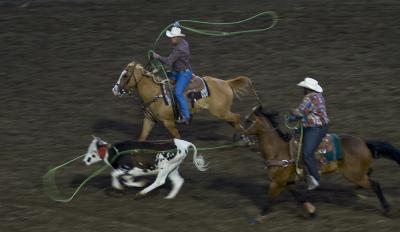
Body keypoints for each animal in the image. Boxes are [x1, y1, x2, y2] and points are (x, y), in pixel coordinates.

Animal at [112, 60, 253, 140]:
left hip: (221, 112)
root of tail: (226, 83)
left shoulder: (168, 122)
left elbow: (178, 138)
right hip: (223, 112)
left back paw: (242, 137)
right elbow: (142, 137)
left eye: (125, 75)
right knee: (234, 121)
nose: (114, 90)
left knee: (237, 117)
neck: (156, 93)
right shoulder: (149, 119)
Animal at [242, 105, 400, 223]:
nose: (239, 136)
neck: (279, 150)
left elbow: (269, 200)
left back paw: (387, 209)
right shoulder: (287, 182)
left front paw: (258, 219)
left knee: (375, 185)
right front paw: (312, 213)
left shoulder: (277, 182)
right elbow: (299, 196)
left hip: (354, 175)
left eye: (248, 121)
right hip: (357, 173)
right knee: (370, 173)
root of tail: (363, 143)